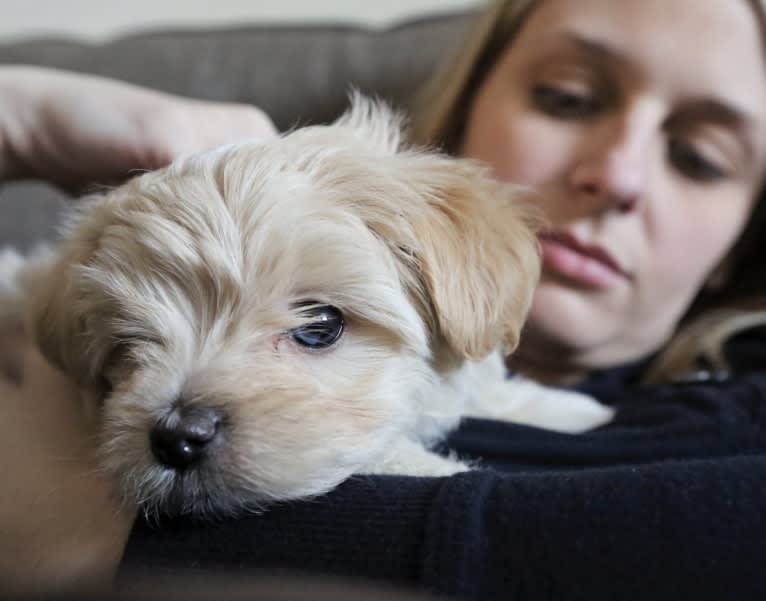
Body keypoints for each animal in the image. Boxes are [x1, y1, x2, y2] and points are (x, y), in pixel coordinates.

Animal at [1, 96, 612, 516]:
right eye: (127, 347)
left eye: (321, 325)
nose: (178, 437)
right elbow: (384, 455)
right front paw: (439, 469)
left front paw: (573, 411)